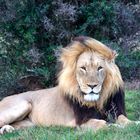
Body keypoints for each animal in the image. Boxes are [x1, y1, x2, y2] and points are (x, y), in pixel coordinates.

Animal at [0, 36, 132, 133]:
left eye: (100, 68)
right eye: (83, 68)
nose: (92, 86)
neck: (98, 101)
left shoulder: (115, 111)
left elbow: (123, 119)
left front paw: (132, 124)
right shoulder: (82, 122)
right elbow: (103, 124)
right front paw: (114, 127)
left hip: (29, 124)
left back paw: (8, 129)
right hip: (23, 105)